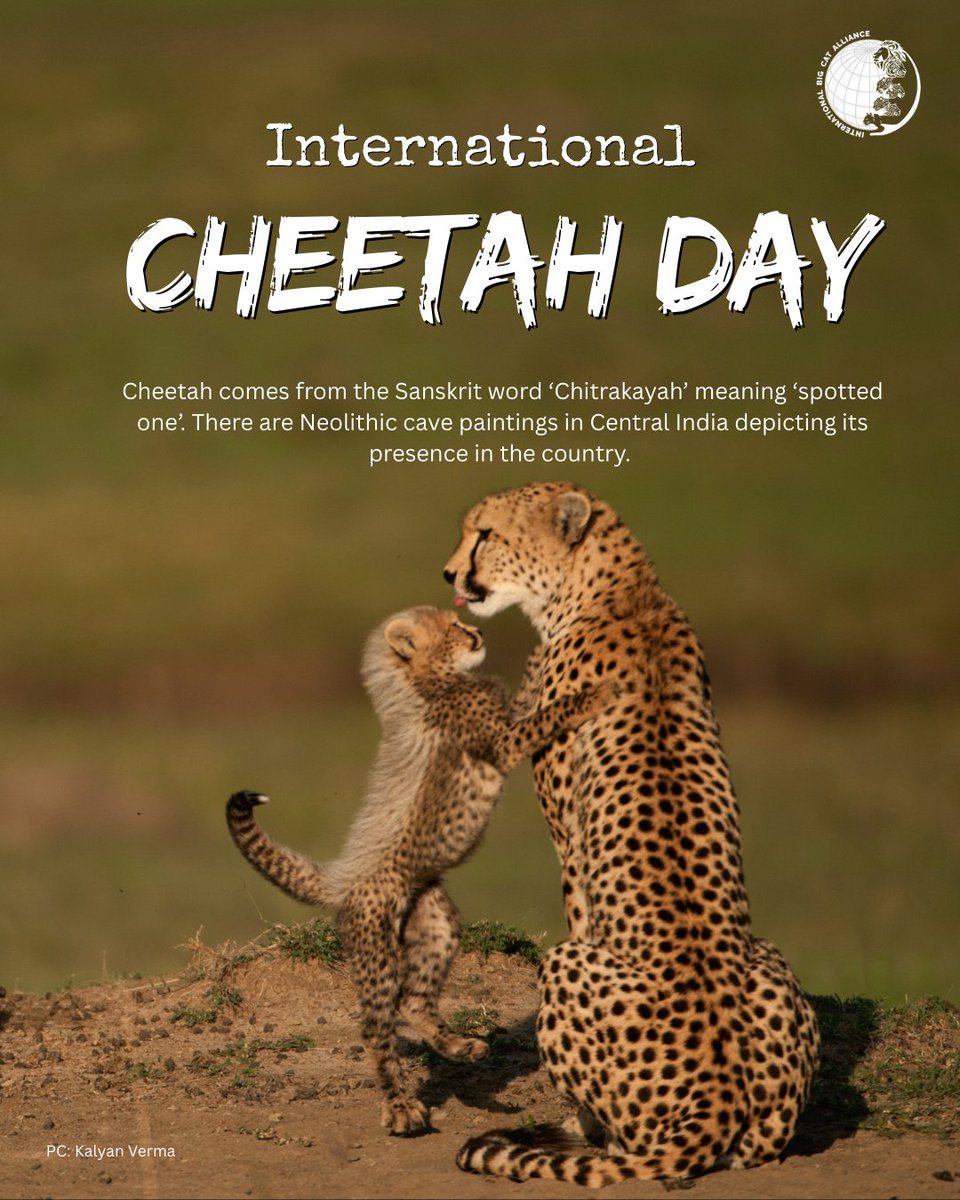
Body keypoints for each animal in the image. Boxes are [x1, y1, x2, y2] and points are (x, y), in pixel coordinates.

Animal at [226, 604, 610, 1137]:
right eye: (450, 627)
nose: (477, 631)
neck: (427, 685)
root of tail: (342, 879)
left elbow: (527, 696)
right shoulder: (502, 741)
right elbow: (542, 714)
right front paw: (590, 694)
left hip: (434, 920)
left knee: (413, 1000)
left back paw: (460, 1047)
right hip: (376, 948)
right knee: (376, 1028)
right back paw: (401, 1107)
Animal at [443, 482, 820, 1186]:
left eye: (485, 533)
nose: (450, 574)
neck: (621, 593)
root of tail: (720, 1105)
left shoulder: (568, 841)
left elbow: (577, 909)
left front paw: (574, 1122)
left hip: (564, 966)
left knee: (625, 1141)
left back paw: (584, 1132)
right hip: (769, 962)